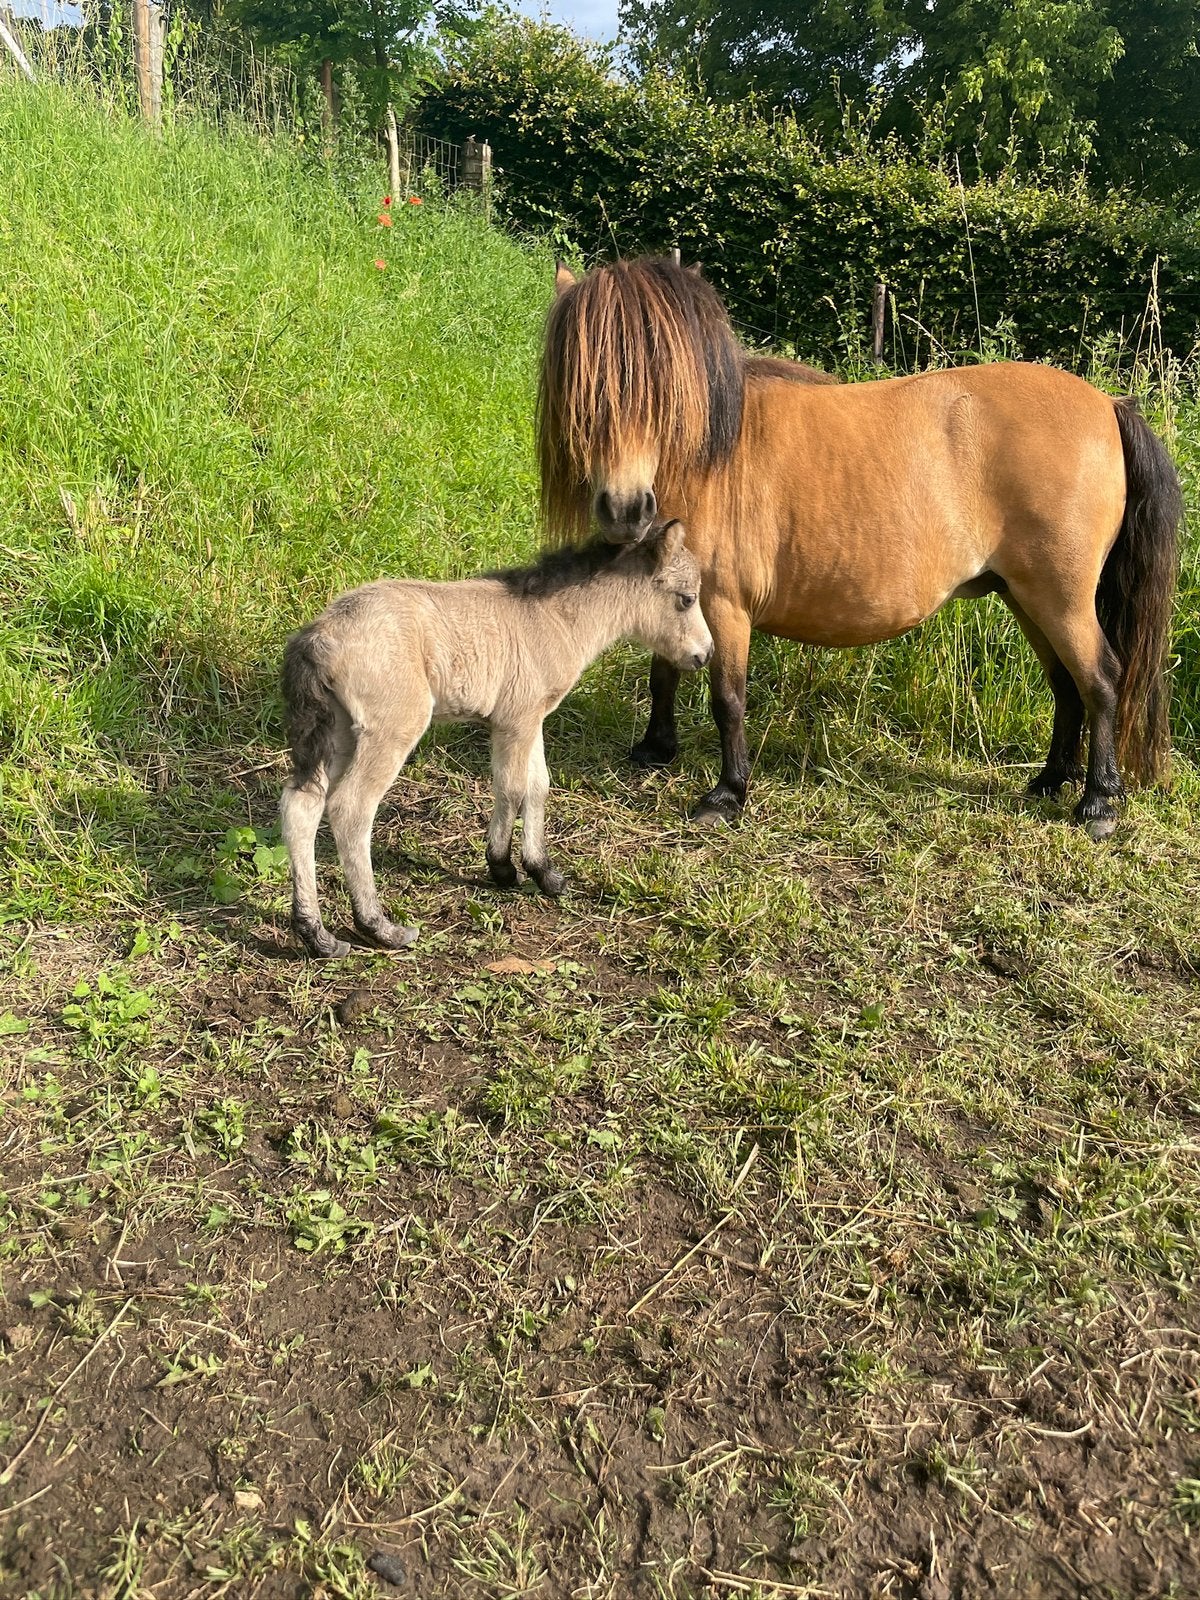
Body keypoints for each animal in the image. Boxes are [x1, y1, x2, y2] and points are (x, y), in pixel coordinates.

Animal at [279, 520, 714, 958]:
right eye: (687, 598)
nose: (705, 655)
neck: (553, 619)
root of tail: (318, 638)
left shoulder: (531, 718)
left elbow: (538, 786)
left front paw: (545, 873)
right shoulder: (515, 720)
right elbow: (512, 788)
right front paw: (503, 867)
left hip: (338, 731)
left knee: (302, 804)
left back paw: (316, 934)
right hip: (391, 728)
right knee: (351, 809)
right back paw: (379, 927)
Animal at [537, 256, 1182, 837]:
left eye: (662, 392)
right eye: (581, 385)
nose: (625, 511)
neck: (713, 456)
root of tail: (1109, 406)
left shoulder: (725, 607)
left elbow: (727, 699)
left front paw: (727, 794)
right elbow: (663, 672)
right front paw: (655, 748)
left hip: (1060, 598)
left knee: (1101, 679)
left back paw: (1098, 804)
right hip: (1026, 597)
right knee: (1067, 685)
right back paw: (1051, 780)